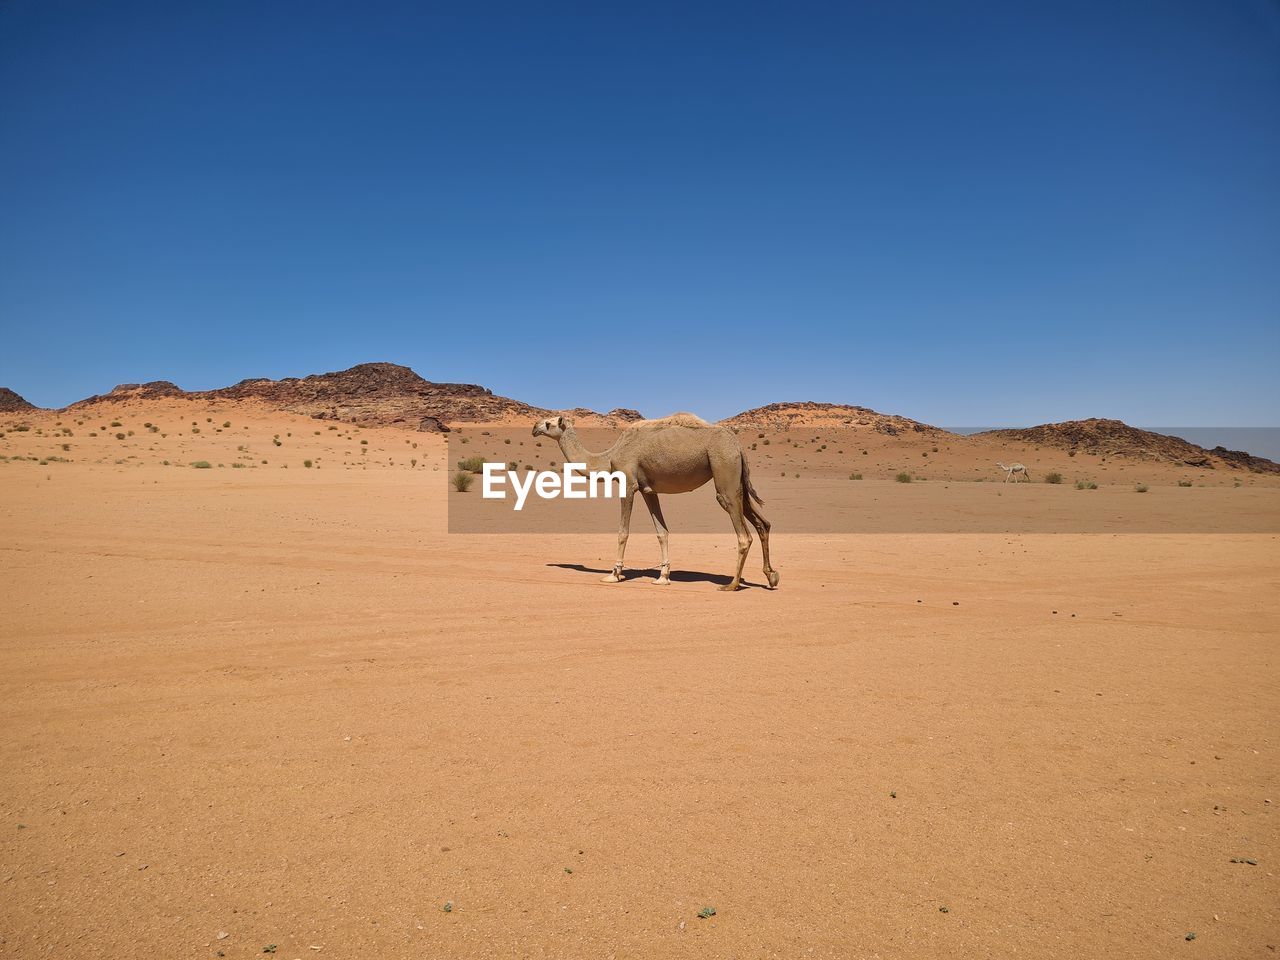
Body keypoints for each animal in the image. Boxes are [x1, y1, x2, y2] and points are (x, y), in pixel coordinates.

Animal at [532, 414, 778, 593]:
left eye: (548, 422)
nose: (534, 427)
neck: (609, 457)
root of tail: (738, 445)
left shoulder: (628, 483)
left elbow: (623, 532)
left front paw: (614, 574)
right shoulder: (649, 490)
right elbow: (662, 532)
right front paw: (663, 577)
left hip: (724, 467)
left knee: (743, 534)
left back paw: (732, 584)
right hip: (737, 478)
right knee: (762, 523)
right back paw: (771, 577)